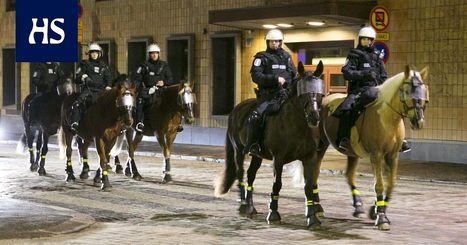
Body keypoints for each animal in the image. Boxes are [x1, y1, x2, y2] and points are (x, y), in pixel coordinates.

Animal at [214, 61, 328, 230]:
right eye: (302, 94)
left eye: (320, 94)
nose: (314, 118)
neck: (296, 124)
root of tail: (236, 109)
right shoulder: (278, 158)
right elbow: (277, 184)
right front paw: (273, 213)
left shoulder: (310, 157)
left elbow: (308, 185)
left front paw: (312, 218)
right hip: (238, 150)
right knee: (240, 173)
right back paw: (244, 205)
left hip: (257, 155)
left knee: (251, 174)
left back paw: (250, 206)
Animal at [310, 64, 432, 231]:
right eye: (407, 91)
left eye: (424, 91)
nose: (418, 122)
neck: (388, 118)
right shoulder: (376, 155)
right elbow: (379, 185)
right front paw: (381, 218)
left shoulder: (392, 155)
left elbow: (391, 184)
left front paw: (376, 210)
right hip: (321, 146)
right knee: (315, 173)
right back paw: (317, 207)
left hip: (352, 153)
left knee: (349, 175)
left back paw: (358, 207)